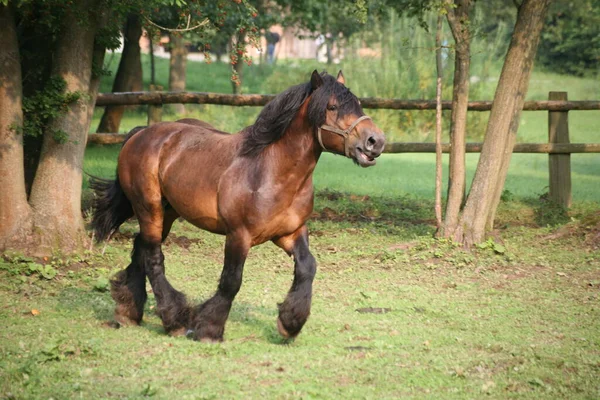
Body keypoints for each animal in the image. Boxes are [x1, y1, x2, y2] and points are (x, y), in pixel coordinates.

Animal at [91, 71, 386, 340]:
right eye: (332, 106)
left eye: (358, 104)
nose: (376, 141)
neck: (269, 172)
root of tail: (141, 134)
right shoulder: (238, 235)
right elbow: (231, 280)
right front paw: (208, 329)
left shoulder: (290, 233)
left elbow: (307, 267)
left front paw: (290, 322)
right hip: (148, 208)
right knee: (153, 257)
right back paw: (174, 320)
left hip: (168, 213)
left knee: (140, 249)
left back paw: (128, 310)